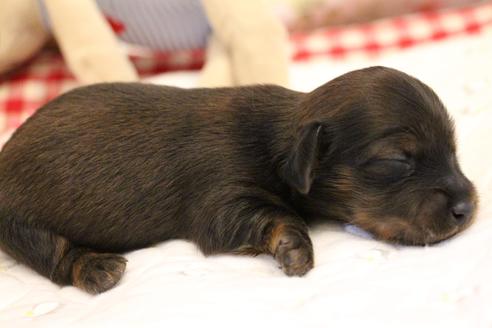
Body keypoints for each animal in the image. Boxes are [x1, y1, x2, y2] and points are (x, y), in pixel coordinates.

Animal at [0, 66, 478, 294]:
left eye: (453, 148)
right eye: (396, 160)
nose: (468, 208)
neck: (278, 142)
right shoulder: (222, 197)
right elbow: (272, 215)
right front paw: (293, 245)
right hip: (20, 221)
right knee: (51, 253)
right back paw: (96, 267)